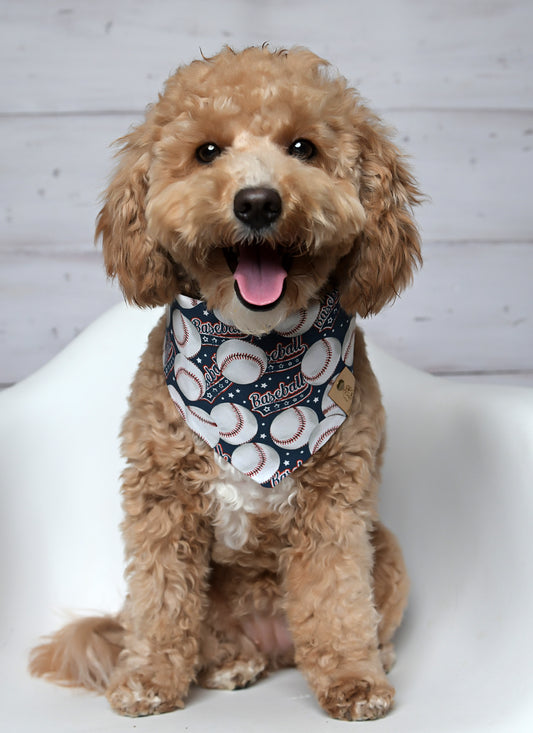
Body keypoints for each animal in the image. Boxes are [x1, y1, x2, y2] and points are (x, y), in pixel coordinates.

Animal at [30, 45, 420, 720]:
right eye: (207, 151)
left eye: (303, 147)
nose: (258, 202)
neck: (255, 360)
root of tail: (275, 641)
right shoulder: (161, 502)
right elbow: (160, 602)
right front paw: (148, 680)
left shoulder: (336, 509)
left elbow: (339, 600)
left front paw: (353, 680)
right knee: (198, 633)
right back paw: (227, 664)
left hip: (387, 549)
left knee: (359, 614)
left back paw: (375, 656)